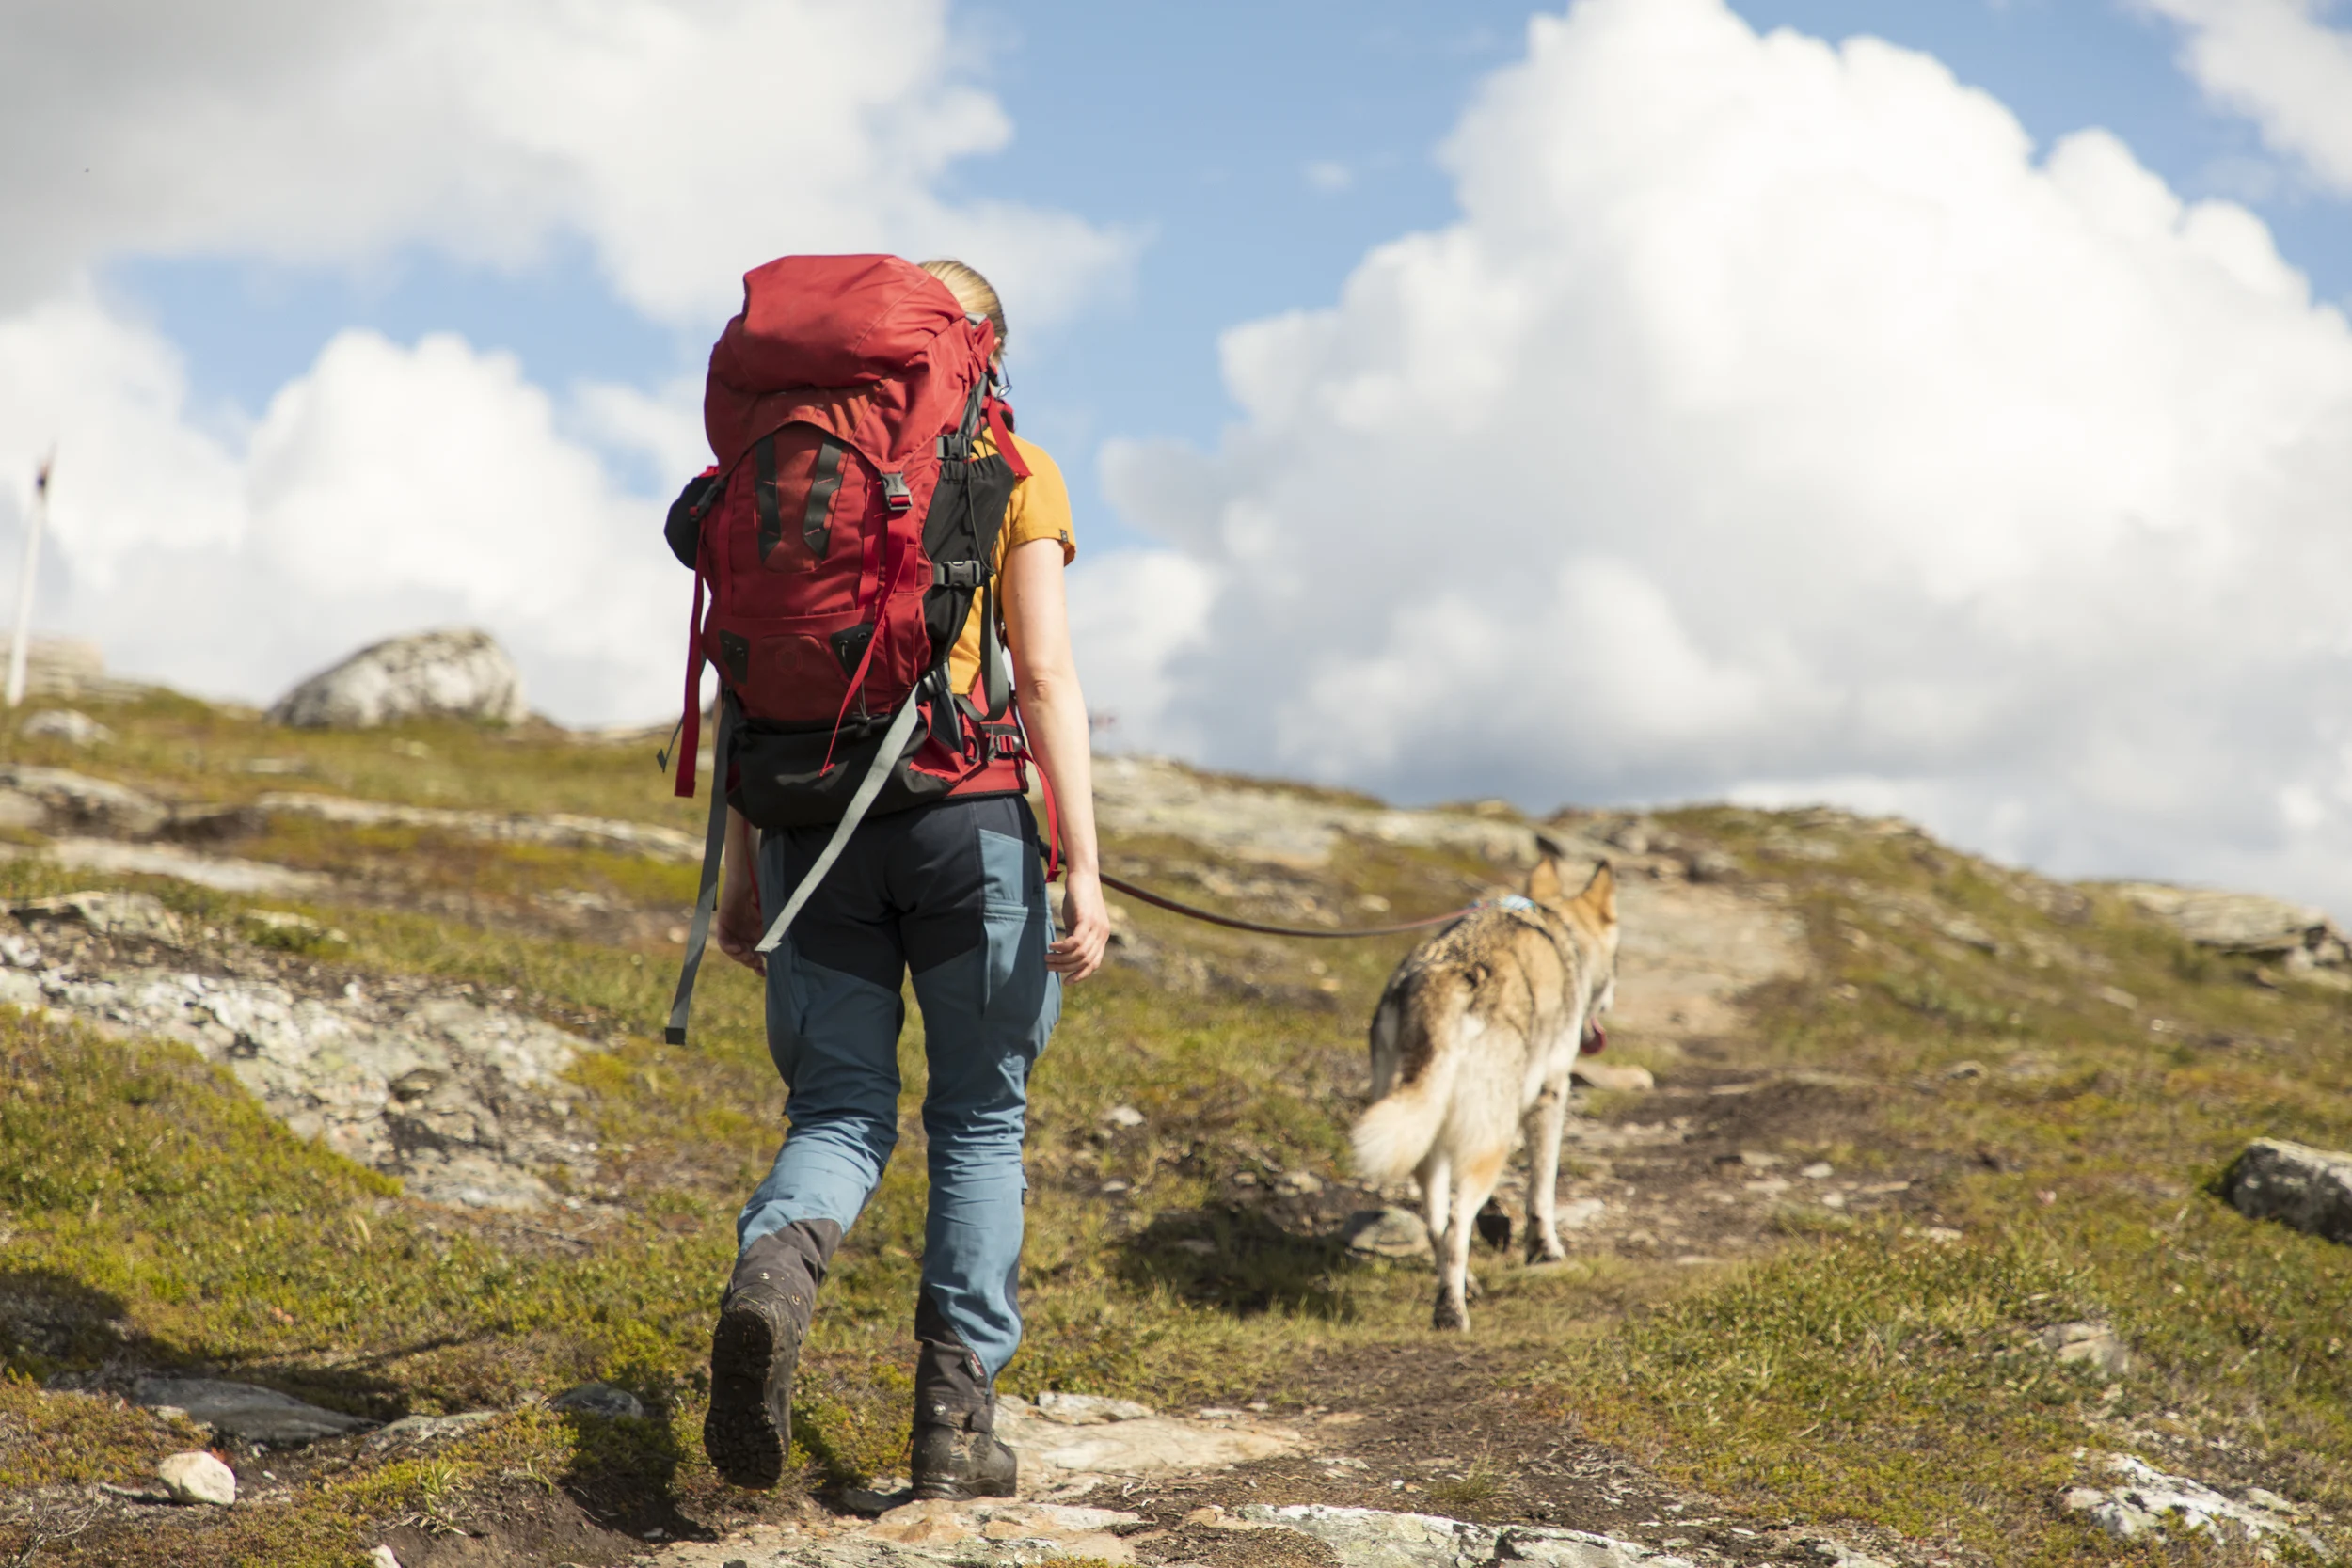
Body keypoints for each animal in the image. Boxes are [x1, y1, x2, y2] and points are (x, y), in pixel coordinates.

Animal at [1355, 841, 1609, 1335]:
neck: (1560, 929)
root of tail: (1443, 979)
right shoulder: (1550, 1096)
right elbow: (1542, 1188)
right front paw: (1545, 1251)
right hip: (1490, 1133)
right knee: (1455, 1226)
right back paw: (1451, 1313)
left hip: (1425, 1129)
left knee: (1436, 1221)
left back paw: (1464, 1287)